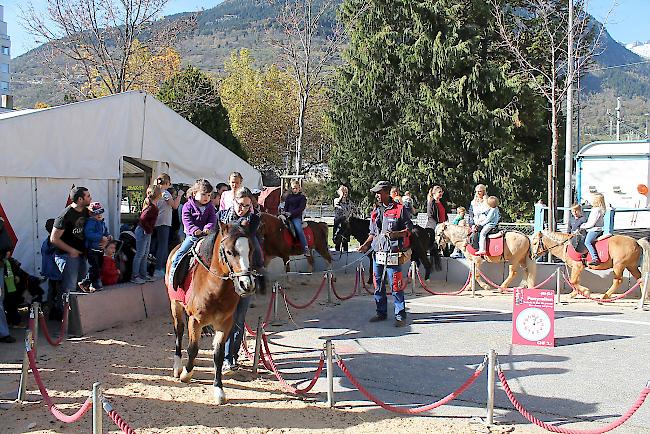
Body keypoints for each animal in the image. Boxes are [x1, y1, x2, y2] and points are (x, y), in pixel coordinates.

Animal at [166, 224, 256, 404]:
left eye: (251, 249)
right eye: (229, 252)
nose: (246, 284)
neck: (214, 288)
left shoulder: (225, 323)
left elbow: (218, 355)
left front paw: (219, 389)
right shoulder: (195, 320)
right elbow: (193, 349)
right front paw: (186, 374)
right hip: (175, 305)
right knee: (179, 331)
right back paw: (178, 366)